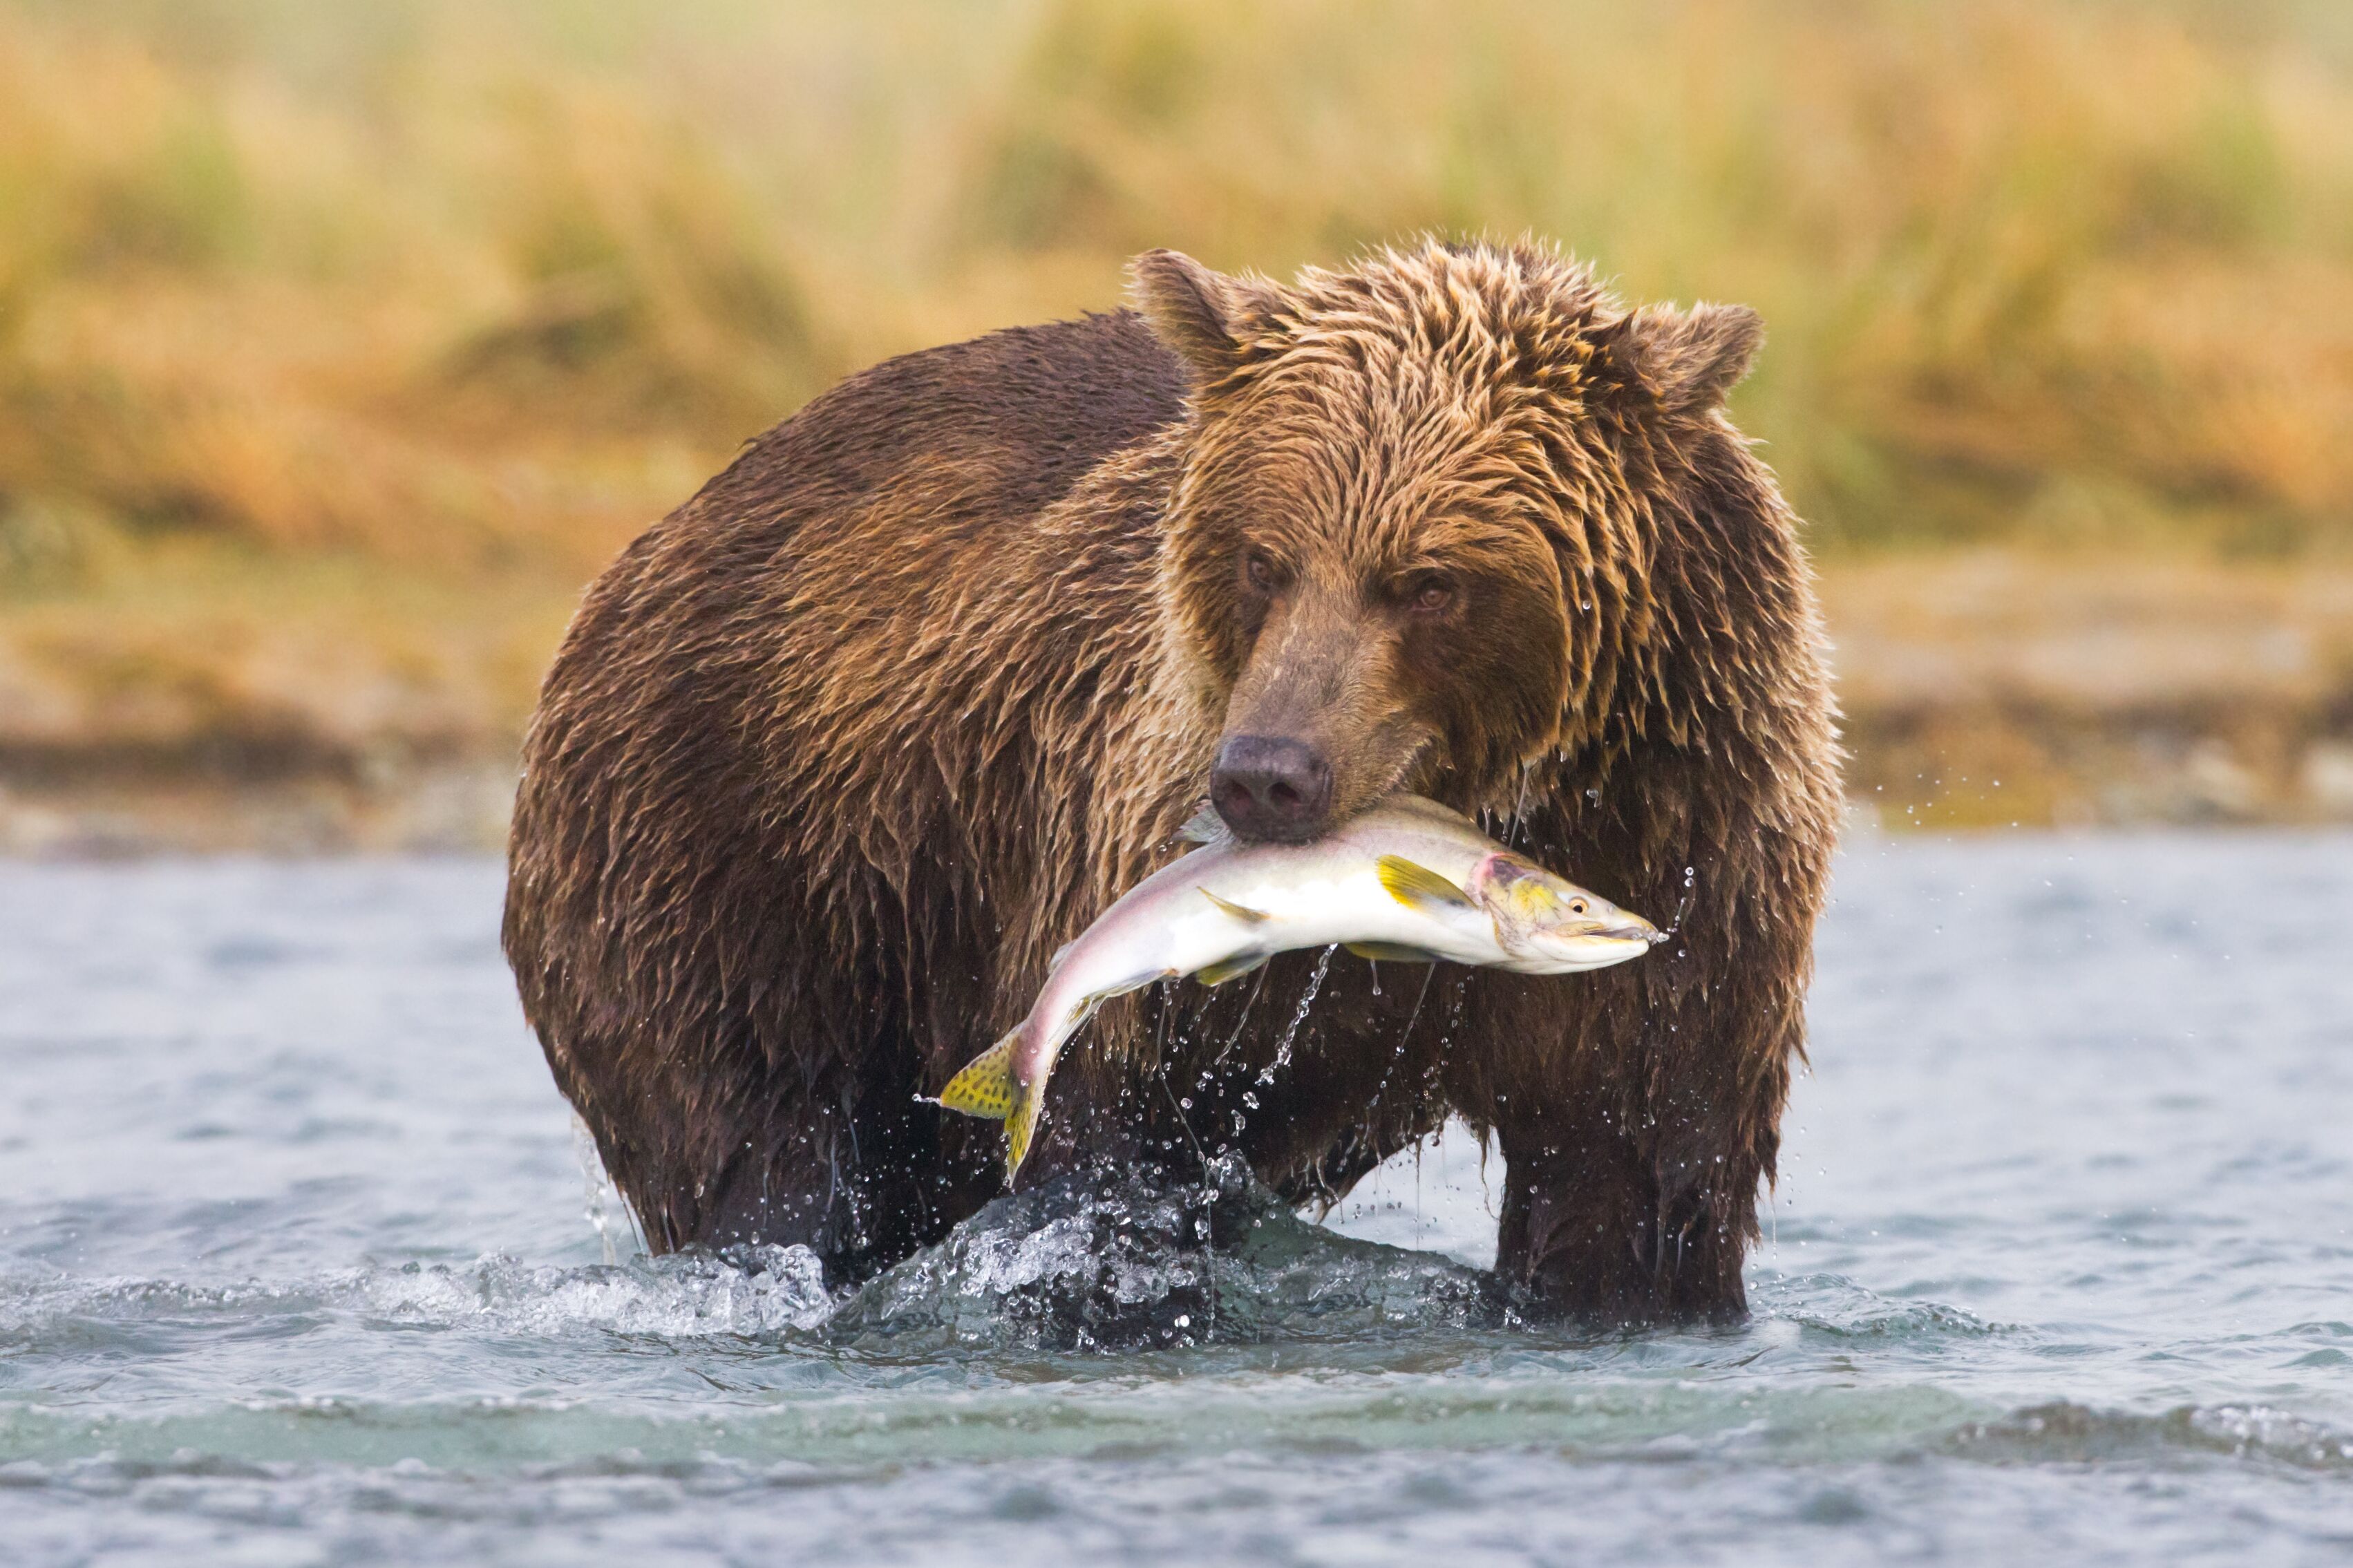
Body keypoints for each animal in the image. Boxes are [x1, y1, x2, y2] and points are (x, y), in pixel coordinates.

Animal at [502, 238, 1841, 1324]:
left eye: (1430, 580)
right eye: (1265, 557)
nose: (1266, 775)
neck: (1509, 787)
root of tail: (655, 540)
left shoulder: (1691, 842)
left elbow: (1640, 1177)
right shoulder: (1118, 833)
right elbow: (1107, 1146)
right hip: (737, 855)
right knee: (766, 1154)